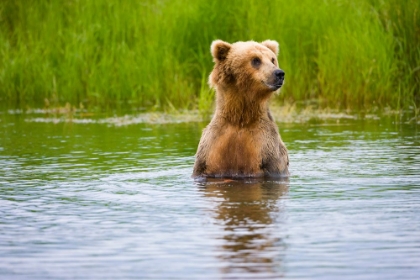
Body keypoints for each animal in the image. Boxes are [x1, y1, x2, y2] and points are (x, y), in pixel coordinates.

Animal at [193, 38, 288, 179]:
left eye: (272, 59)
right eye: (256, 60)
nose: (279, 73)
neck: (240, 117)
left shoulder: (266, 148)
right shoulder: (212, 147)